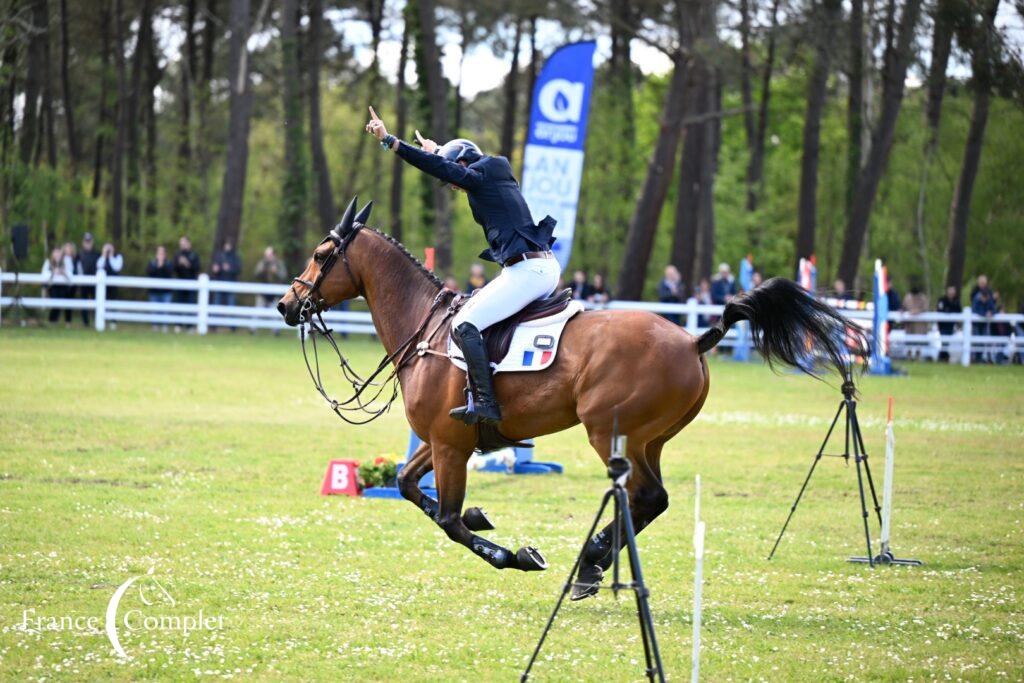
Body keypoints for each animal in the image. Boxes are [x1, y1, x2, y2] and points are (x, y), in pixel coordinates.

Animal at [274, 198, 864, 598]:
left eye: (322, 253)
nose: (285, 304)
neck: (428, 327)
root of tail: (693, 340)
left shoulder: (449, 446)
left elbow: (448, 519)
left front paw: (512, 553)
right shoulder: (444, 442)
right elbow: (406, 485)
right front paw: (485, 518)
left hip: (609, 432)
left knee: (648, 497)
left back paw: (589, 563)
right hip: (649, 440)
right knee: (650, 500)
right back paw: (592, 565)